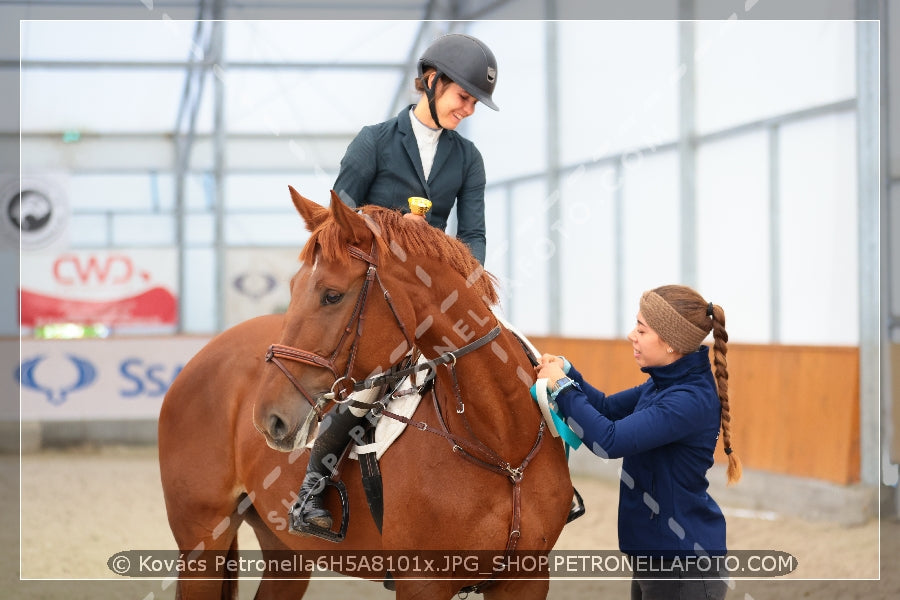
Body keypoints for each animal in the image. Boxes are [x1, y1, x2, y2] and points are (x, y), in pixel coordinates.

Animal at [158, 188, 572, 600]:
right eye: (292, 289)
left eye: (332, 295)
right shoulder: (422, 582)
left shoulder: (526, 579)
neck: (501, 444)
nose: (268, 420)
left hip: (285, 552)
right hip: (202, 541)